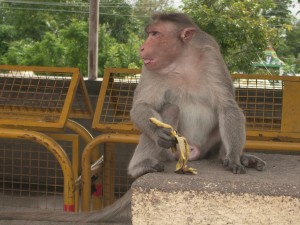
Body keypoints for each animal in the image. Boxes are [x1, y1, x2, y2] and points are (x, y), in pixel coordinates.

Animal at [0, 12, 268, 223]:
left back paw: (232, 156)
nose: (142, 47)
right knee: (171, 110)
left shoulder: (210, 54)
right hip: (171, 153)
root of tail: (193, 153)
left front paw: (233, 157)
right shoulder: (150, 67)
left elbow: (228, 106)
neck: (182, 60)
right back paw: (140, 166)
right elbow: (142, 106)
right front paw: (158, 132)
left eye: (155, 34)